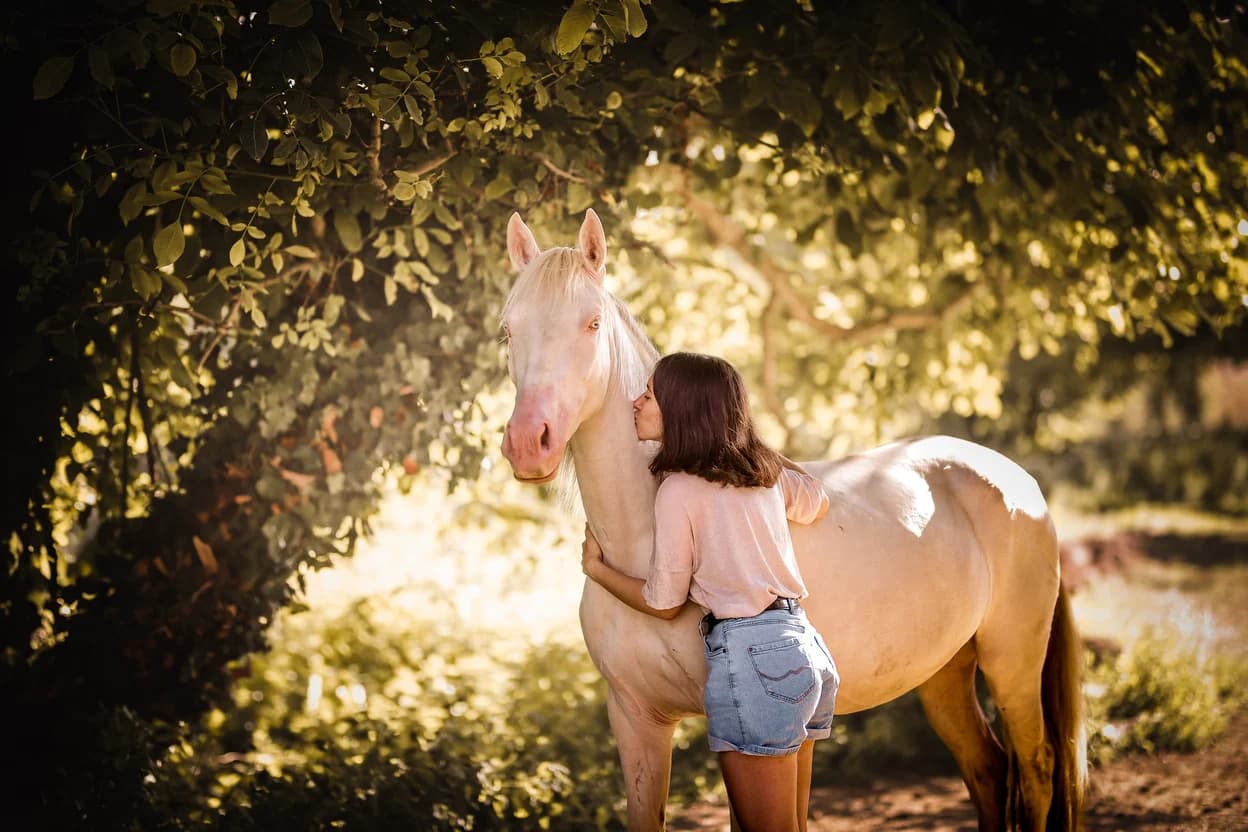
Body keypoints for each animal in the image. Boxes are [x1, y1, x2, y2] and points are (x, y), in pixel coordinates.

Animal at [498, 209, 1086, 831]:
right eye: (508, 331)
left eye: (591, 324)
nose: (528, 442)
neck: (647, 545)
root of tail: (1020, 485)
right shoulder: (635, 719)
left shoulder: (744, 734)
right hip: (946, 674)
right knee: (989, 770)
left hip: (1012, 662)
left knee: (1037, 766)